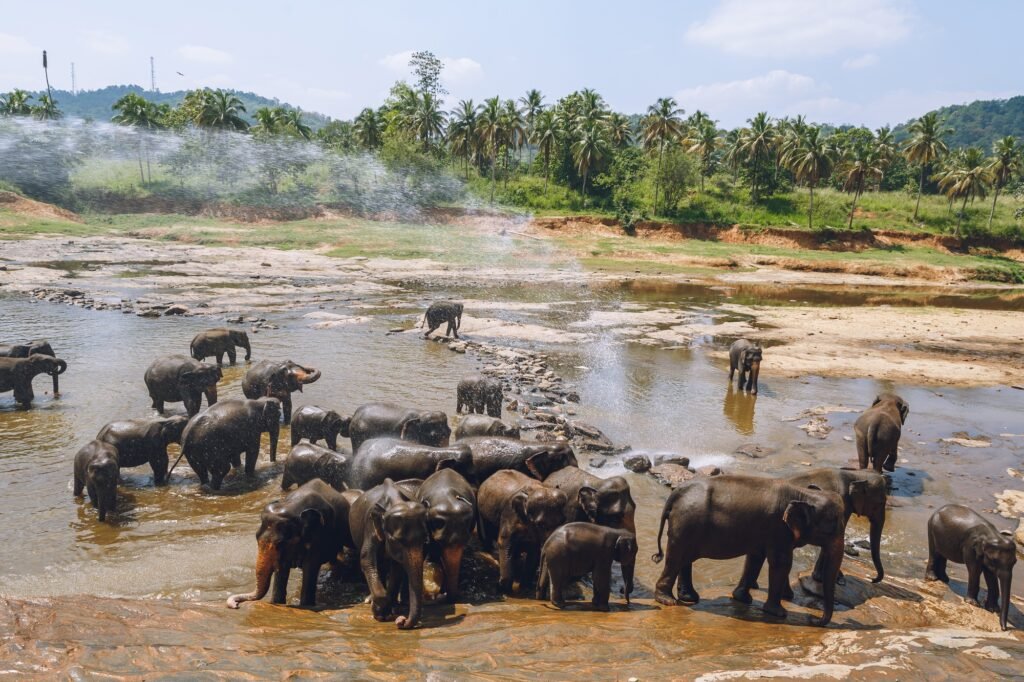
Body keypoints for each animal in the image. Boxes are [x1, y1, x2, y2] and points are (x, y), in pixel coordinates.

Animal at [227, 479, 356, 609]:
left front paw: (306, 606)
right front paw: (277, 602)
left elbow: (310, 567)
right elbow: (282, 569)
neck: (293, 507)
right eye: (256, 537)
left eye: (279, 543)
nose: (236, 605)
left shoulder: (319, 534)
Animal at [349, 479, 429, 629]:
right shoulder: (370, 525)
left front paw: (386, 612)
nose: (401, 621)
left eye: (425, 540)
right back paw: (370, 600)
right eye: (397, 540)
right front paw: (380, 613)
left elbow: (397, 568)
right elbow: (367, 560)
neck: (395, 501)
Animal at [652, 475, 847, 626]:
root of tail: (677, 492)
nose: (814, 620)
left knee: (685, 558)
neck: (805, 494)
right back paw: (668, 601)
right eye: (831, 530)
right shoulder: (778, 529)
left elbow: (755, 557)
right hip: (685, 524)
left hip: (688, 525)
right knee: (676, 557)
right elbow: (781, 562)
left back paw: (689, 598)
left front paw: (742, 599)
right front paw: (779, 613)